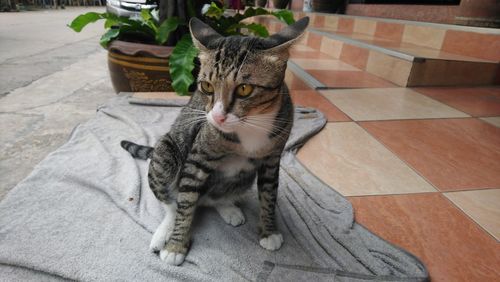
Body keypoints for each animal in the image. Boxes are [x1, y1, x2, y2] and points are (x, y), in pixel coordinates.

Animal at [121, 16, 308, 266]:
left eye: (245, 89)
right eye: (206, 86)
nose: (218, 116)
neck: (250, 126)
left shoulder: (272, 158)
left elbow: (269, 195)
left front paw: (269, 231)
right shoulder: (198, 156)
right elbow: (185, 204)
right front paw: (176, 246)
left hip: (242, 178)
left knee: (214, 197)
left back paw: (228, 208)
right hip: (165, 153)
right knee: (172, 201)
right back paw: (164, 232)